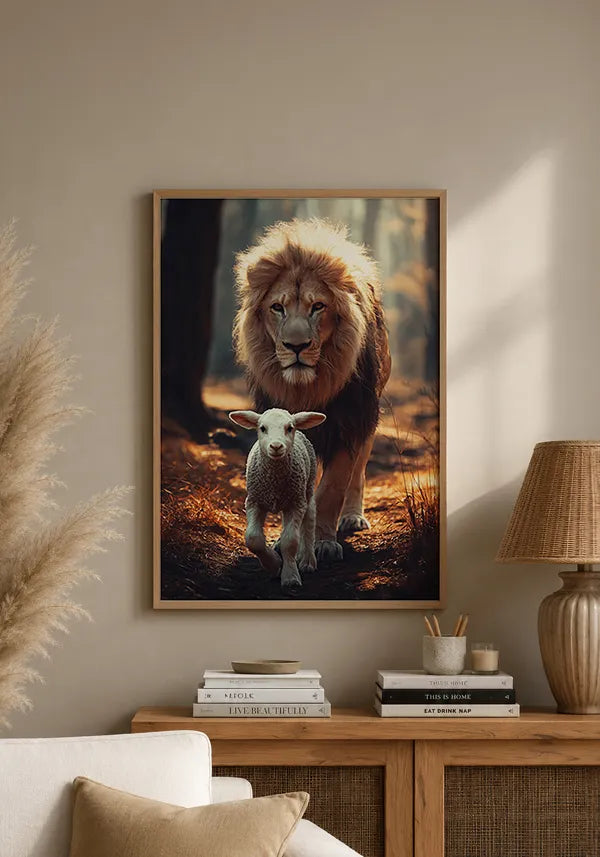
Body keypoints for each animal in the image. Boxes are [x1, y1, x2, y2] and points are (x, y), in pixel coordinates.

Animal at [233, 218, 391, 566]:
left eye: (318, 306)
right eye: (277, 307)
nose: (296, 346)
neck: (307, 387)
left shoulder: (350, 421)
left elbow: (332, 487)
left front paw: (323, 542)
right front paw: (282, 541)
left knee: (359, 471)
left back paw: (352, 517)